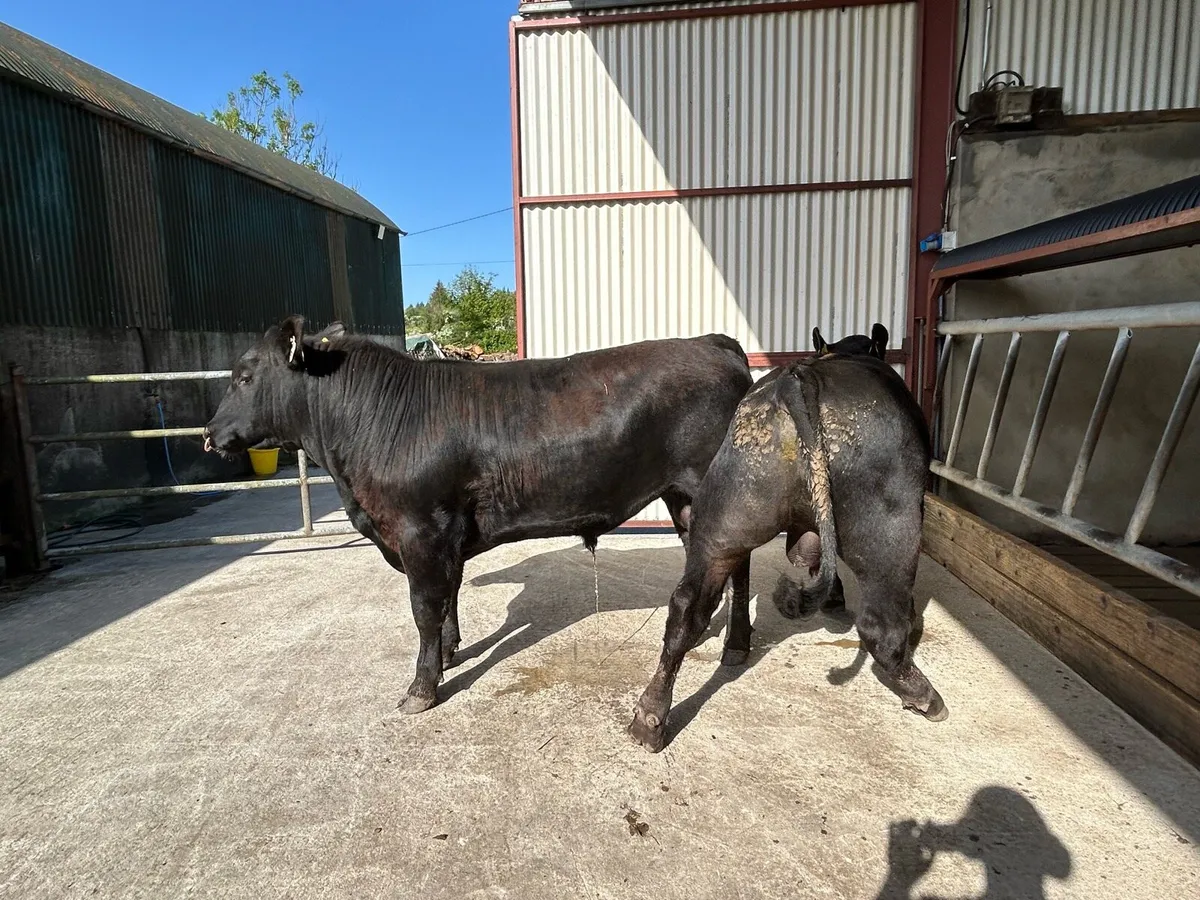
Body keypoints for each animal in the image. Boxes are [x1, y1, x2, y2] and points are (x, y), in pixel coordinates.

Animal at [203, 315, 754, 714]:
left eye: (245, 377)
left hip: (705, 489)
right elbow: (449, 596)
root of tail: (710, 341)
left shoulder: (420, 531)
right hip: (686, 498)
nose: (209, 433)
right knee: (737, 567)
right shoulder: (445, 536)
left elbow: (425, 608)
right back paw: (732, 643)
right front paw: (449, 654)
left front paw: (421, 688)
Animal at [627, 326, 946, 753]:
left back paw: (650, 717)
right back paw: (923, 693)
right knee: (880, 624)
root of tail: (799, 378)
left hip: (725, 512)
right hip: (891, 520)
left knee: (687, 607)